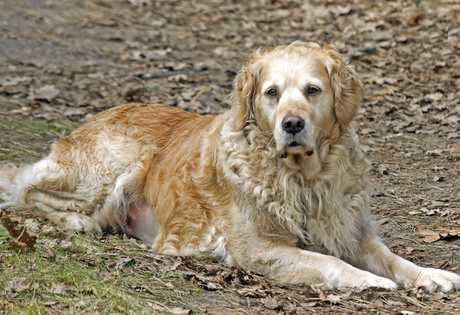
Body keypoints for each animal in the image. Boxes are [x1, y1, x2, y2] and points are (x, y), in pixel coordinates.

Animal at [0, 41, 460, 292]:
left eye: (312, 90)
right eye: (272, 93)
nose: (292, 124)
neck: (302, 178)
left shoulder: (353, 232)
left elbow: (394, 258)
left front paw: (430, 275)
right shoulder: (256, 248)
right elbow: (330, 263)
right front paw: (372, 282)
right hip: (109, 168)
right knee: (27, 188)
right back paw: (81, 222)